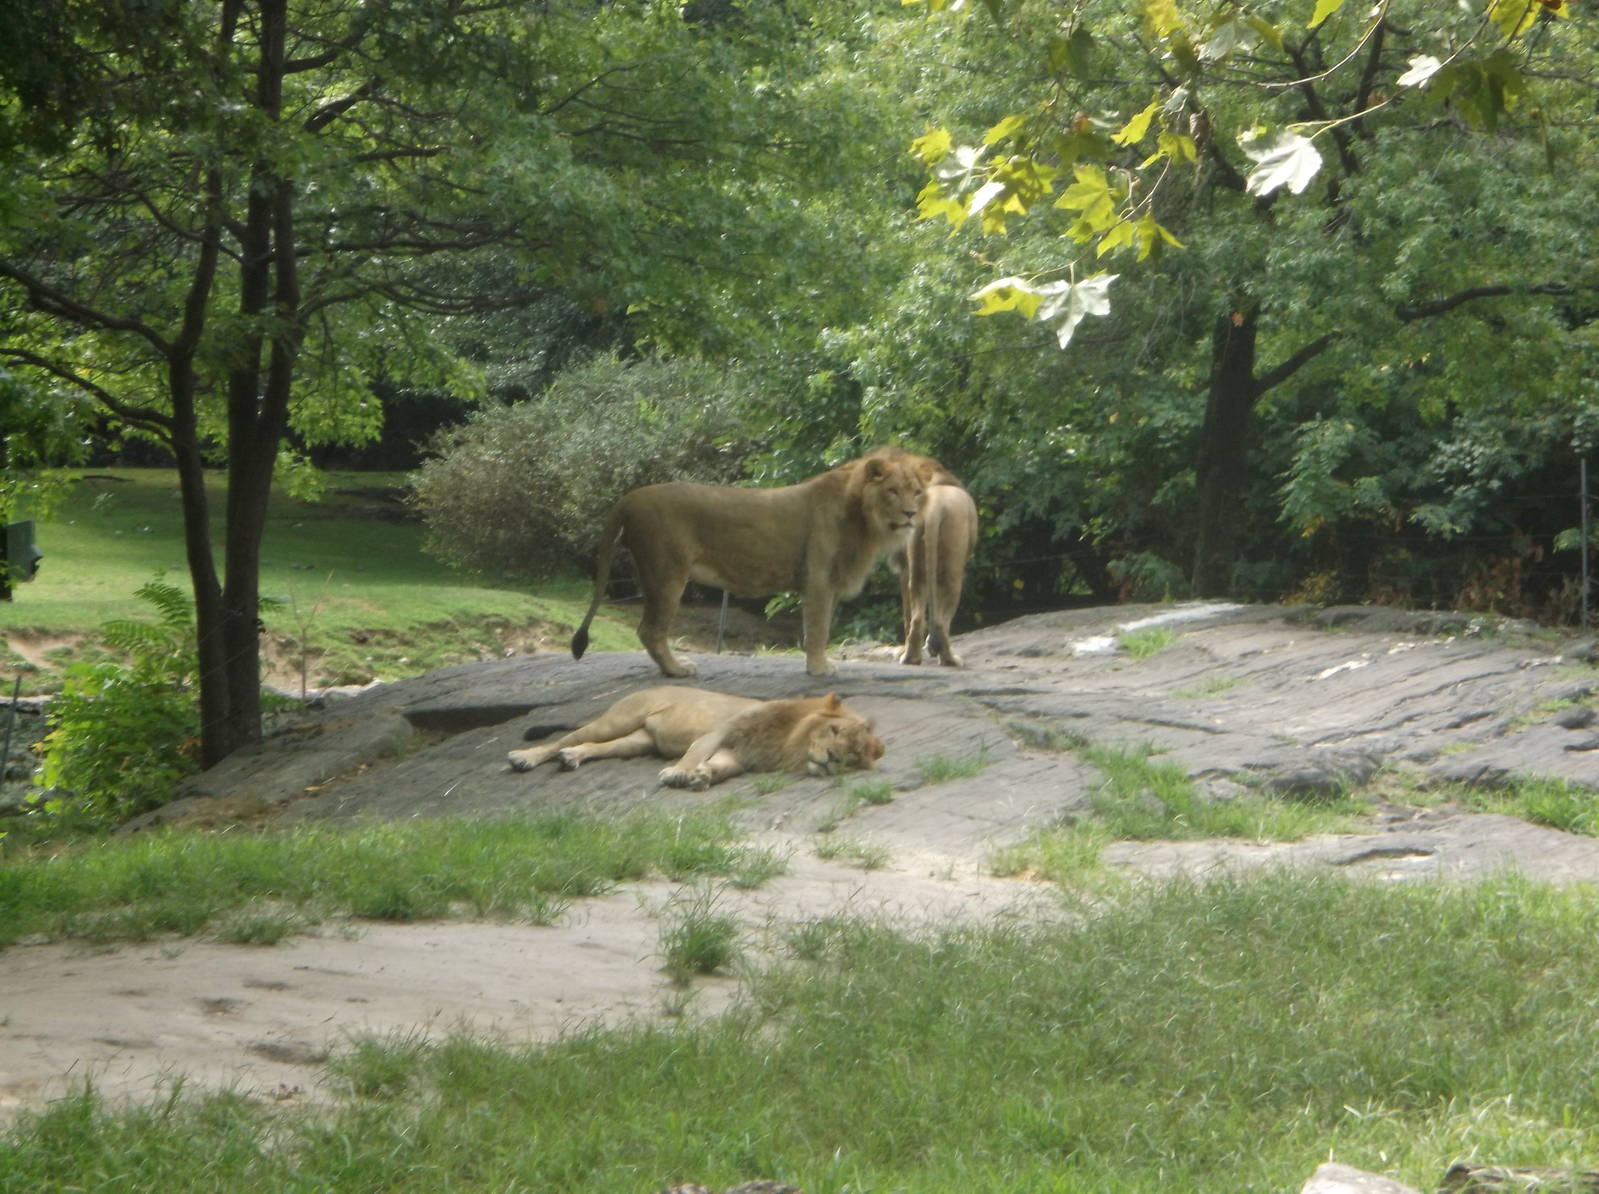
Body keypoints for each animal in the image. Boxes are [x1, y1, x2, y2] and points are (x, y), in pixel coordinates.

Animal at [505, 686, 885, 791]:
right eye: (834, 732)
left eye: (852, 755)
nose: (832, 758)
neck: (788, 740)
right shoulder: (721, 731)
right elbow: (695, 751)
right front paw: (680, 773)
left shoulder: (740, 754)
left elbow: (721, 767)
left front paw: (703, 776)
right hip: (618, 719)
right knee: (563, 739)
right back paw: (526, 757)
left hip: (637, 740)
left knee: (593, 747)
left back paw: (574, 757)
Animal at [570, 447, 935, 678]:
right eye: (892, 491)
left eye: (916, 491)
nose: (911, 513)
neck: (863, 518)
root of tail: (629, 498)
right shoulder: (818, 579)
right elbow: (818, 628)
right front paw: (819, 669)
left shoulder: (830, 581)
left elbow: (822, 627)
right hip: (667, 573)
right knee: (649, 630)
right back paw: (677, 670)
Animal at [888, 462, 978, 667]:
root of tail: (934, 506)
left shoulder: (906, 568)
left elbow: (908, 613)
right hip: (953, 570)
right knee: (941, 620)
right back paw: (950, 659)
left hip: (917, 569)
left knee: (916, 618)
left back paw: (910, 657)